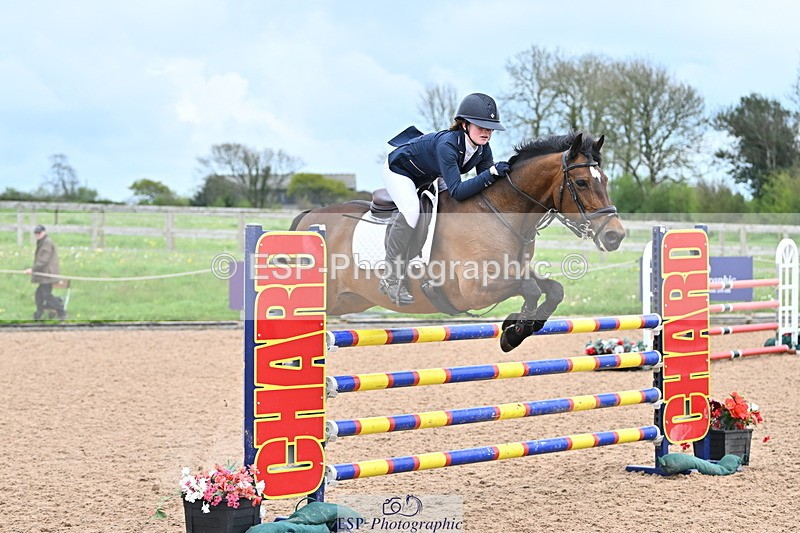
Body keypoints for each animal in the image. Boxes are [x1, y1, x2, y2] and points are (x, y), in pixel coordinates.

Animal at [290, 131, 625, 351]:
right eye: (581, 182)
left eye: (606, 180)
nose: (615, 235)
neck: (499, 214)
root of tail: (307, 217)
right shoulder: (475, 290)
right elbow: (530, 289)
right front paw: (514, 331)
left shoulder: (513, 270)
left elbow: (553, 290)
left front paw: (515, 329)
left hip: (349, 300)